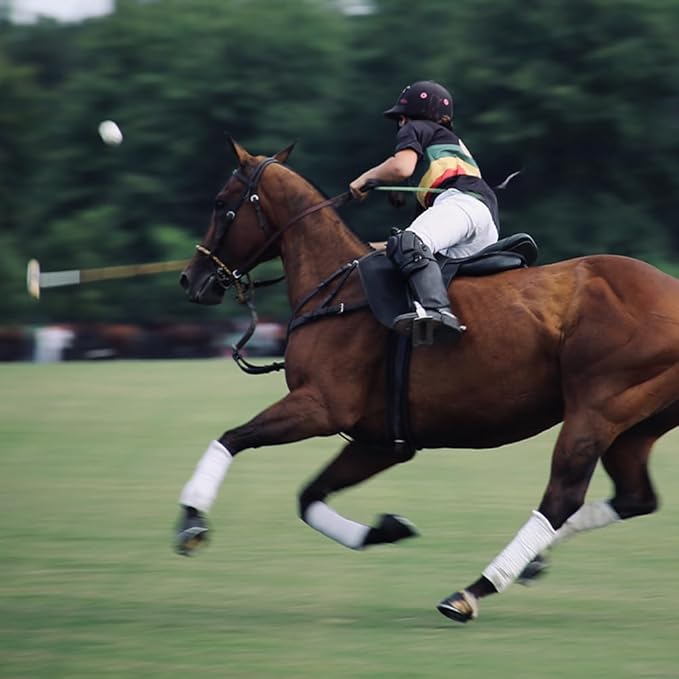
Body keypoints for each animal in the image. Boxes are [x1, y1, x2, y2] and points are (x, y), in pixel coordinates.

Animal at [175, 139, 679, 623]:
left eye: (221, 203)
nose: (191, 279)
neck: (335, 289)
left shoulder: (321, 405)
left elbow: (232, 437)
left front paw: (191, 521)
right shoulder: (380, 440)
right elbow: (308, 496)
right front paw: (385, 529)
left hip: (596, 409)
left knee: (562, 498)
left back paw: (472, 591)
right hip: (635, 425)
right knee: (636, 497)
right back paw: (533, 562)